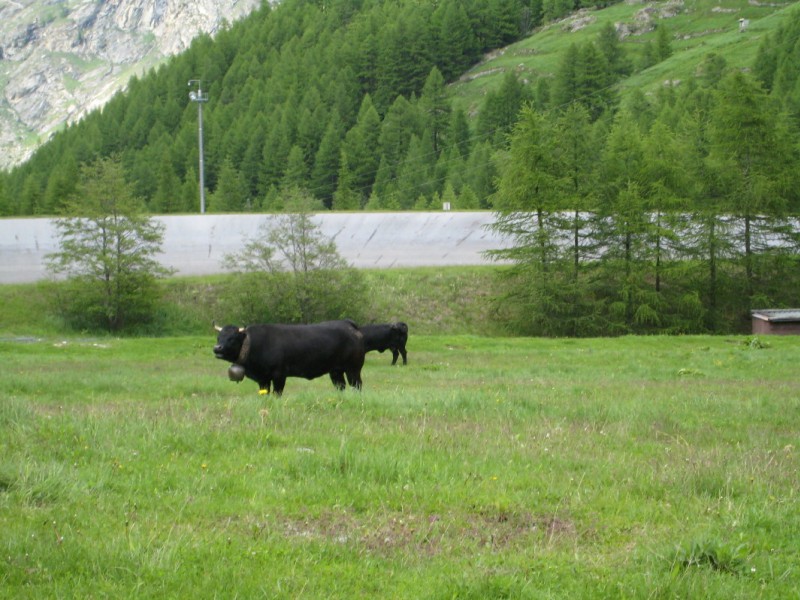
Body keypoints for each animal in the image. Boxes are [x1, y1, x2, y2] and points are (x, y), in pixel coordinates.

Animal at [213, 320, 365, 395]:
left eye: (232, 338)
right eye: (219, 337)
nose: (217, 348)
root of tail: (348, 325)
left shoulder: (279, 375)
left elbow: (277, 393)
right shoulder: (263, 378)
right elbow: (265, 392)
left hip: (353, 369)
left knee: (357, 386)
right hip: (336, 371)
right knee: (341, 386)